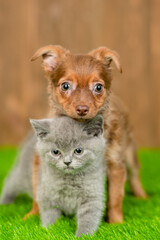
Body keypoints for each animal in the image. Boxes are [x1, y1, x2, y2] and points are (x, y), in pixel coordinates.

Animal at [24, 45, 148, 223]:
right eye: (65, 86)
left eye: (98, 87)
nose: (82, 109)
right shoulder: (40, 162)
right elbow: (38, 192)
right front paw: (33, 215)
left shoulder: (115, 165)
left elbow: (115, 197)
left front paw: (116, 223)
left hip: (129, 153)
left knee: (134, 175)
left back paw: (142, 197)